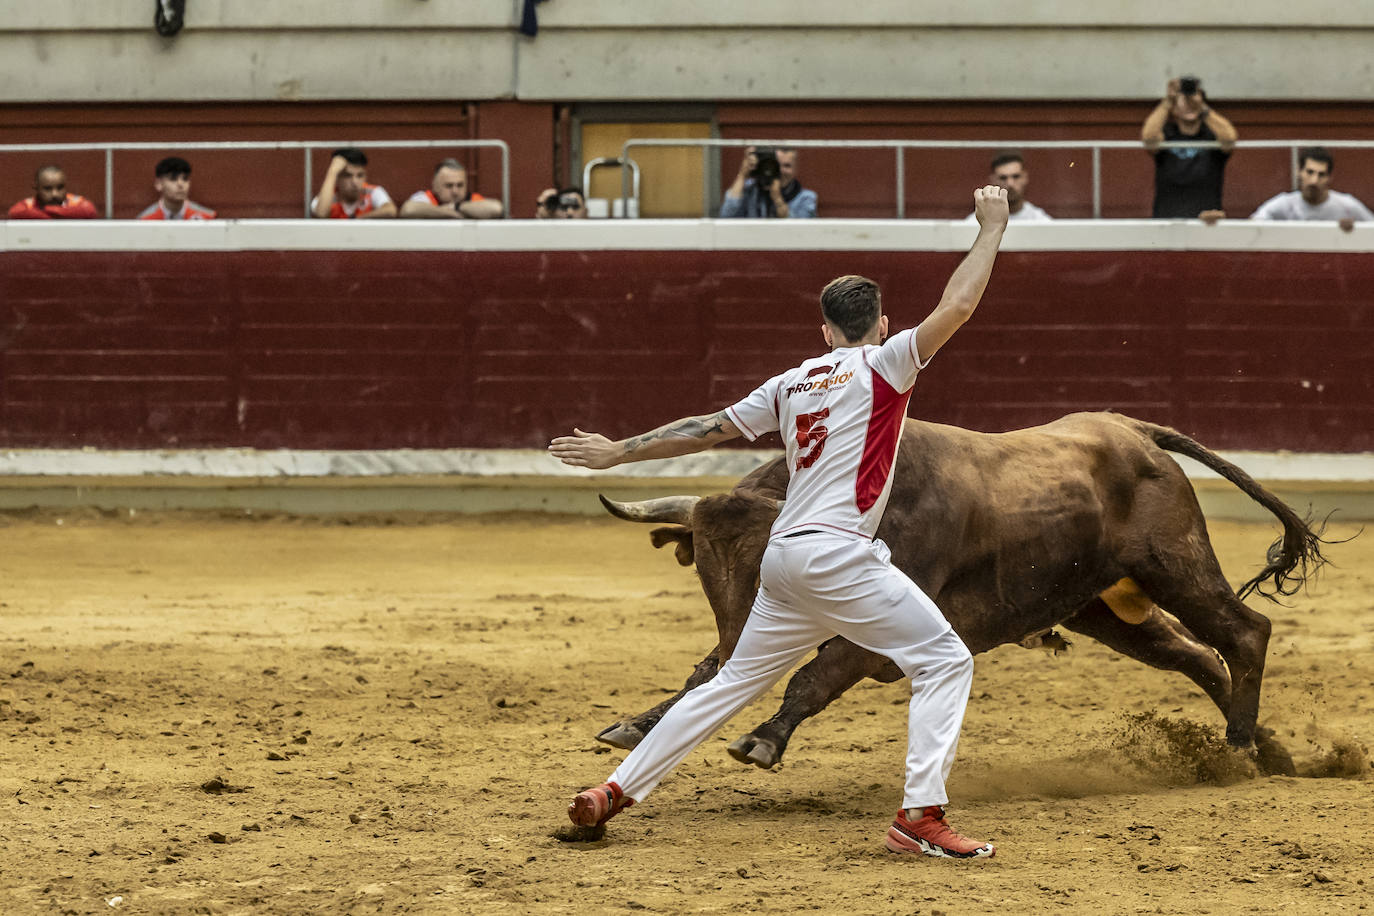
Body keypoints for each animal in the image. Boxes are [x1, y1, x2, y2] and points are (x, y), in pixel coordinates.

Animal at [596, 411, 1324, 780]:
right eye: (704, 569)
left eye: (768, 570)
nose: (740, 641)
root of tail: (1135, 433)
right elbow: (702, 678)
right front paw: (637, 724)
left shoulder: (882, 632)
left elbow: (814, 676)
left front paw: (762, 739)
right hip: (1100, 608)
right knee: (1199, 656)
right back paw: (1265, 750)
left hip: (1176, 565)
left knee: (1245, 632)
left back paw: (1239, 749)